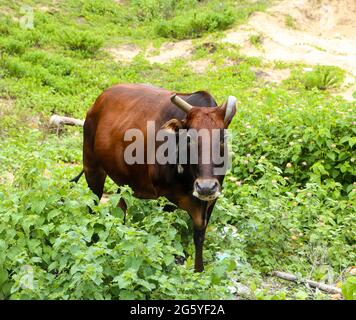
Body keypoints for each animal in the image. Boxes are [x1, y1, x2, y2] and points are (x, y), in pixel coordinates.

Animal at [72, 84, 236, 272]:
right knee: (93, 206)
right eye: (189, 138)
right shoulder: (167, 199)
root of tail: (99, 100)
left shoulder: (210, 202)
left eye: (222, 138)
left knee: (121, 207)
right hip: (91, 167)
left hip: (123, 183)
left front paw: (199, 271)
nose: (206, 187)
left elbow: (199, 238)